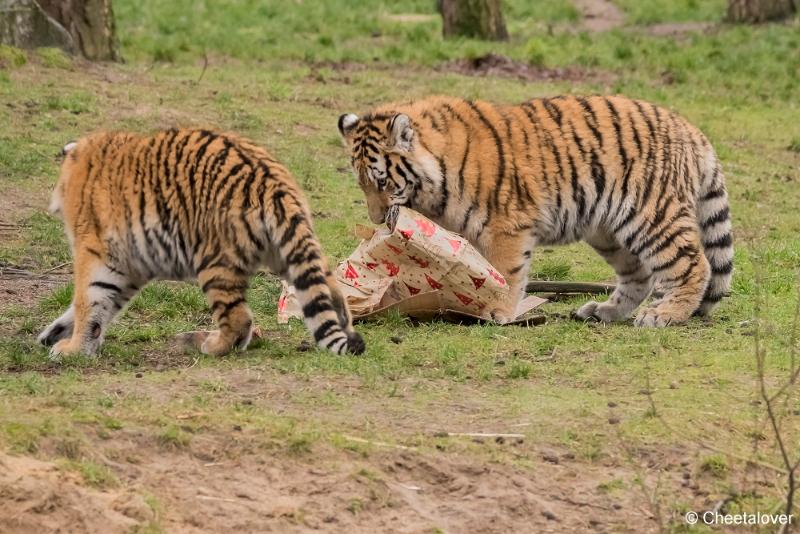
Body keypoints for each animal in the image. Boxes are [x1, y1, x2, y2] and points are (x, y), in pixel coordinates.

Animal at [36, 127, 364, 358]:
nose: (51, 206)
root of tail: (276, 184)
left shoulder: (97, 254)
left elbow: (88, 301)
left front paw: (71, 350)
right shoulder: (129, 267)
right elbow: (101, 306)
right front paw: (56, 335)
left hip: (215, 263)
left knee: (239, 318)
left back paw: (212, 345)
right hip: (288, 253)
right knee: (331, 292)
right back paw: (347, 331)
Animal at [336, 96, 732, 326]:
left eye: (384, 183)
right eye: (362, 184)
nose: (376, 219)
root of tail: (692, 130)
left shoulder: (505, 226)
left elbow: (505, 273)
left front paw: (498, 310)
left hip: (651, 214)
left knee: (693, 263)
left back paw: (664, 315)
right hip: (607, 231)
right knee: (641, 274)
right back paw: (603, 311)